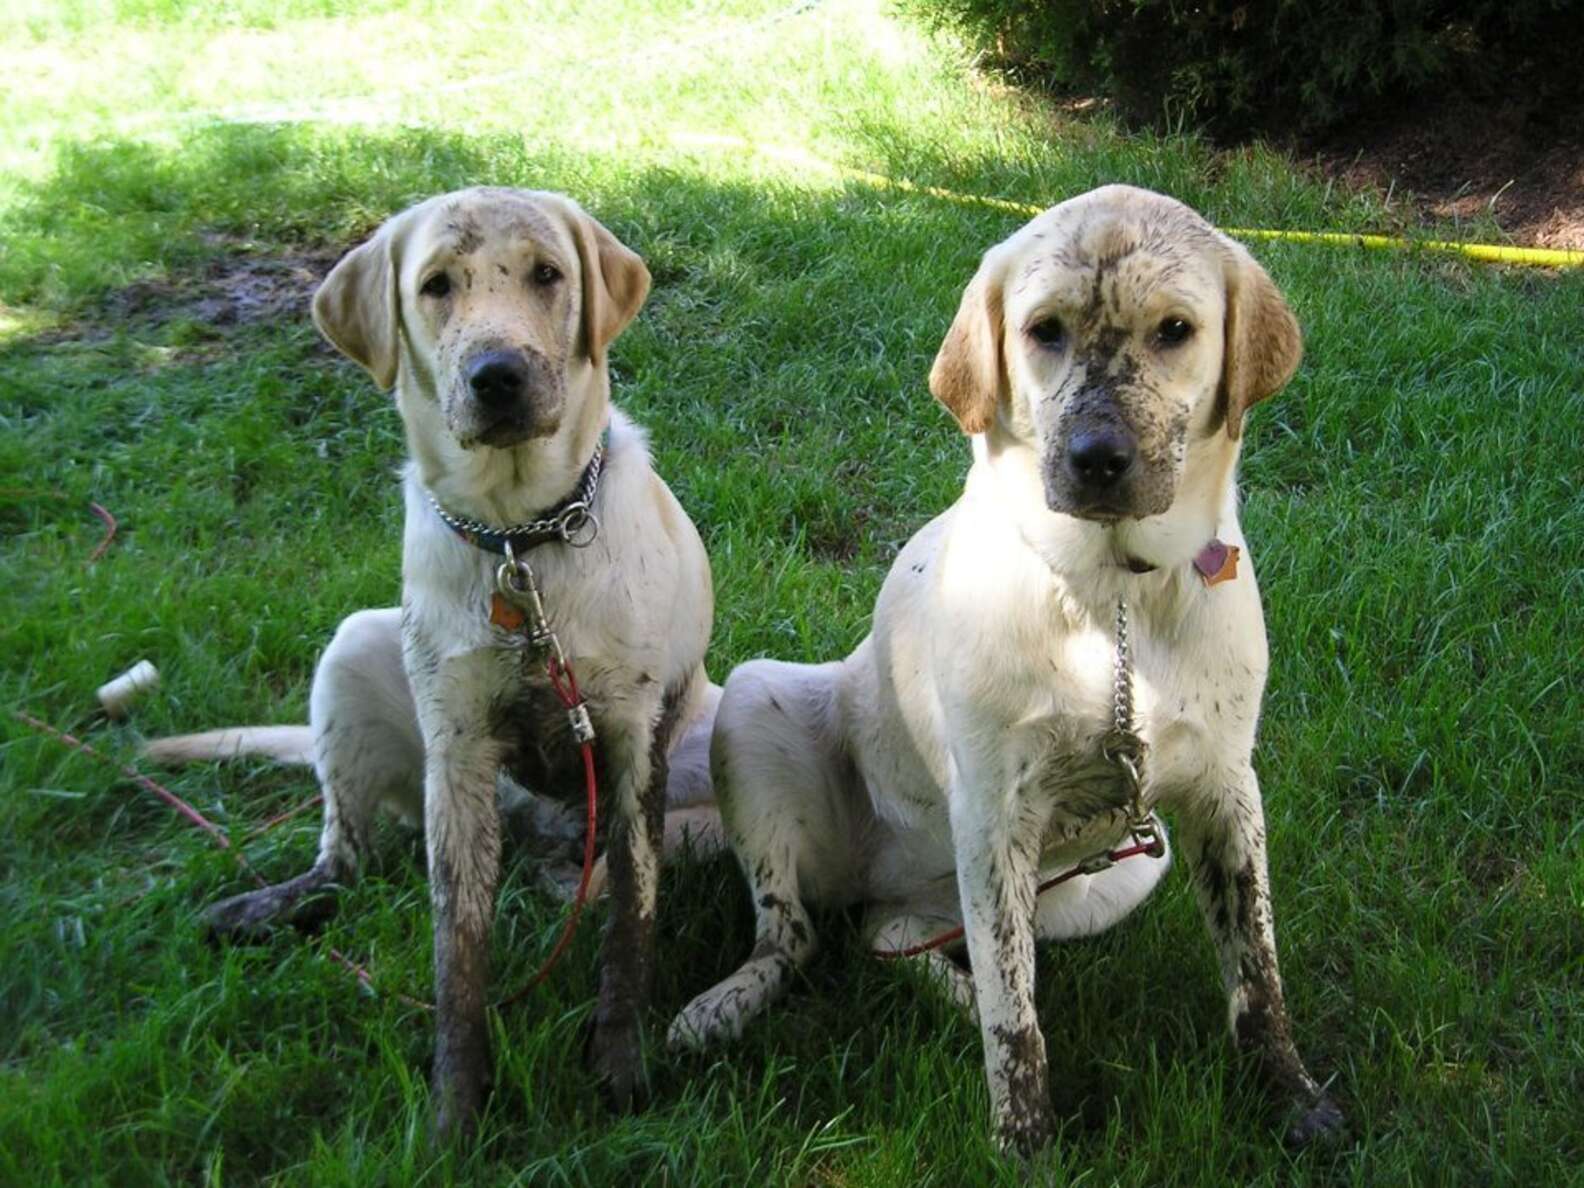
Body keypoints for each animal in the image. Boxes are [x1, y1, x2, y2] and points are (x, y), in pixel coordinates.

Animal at [668, 186, 1336, 1153]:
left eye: (1175, 330)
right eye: (1043, 330)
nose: (1097, 458)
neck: (1111, 601)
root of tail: (883, 880)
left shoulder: (1224, 793)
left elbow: (1256, 970)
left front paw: (1290, 1092)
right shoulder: (995, 815)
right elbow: (1014, 1017)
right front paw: (1026, 1143)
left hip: (1118, 872)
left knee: (893, 938)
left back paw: (939, 983)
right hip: (759, 707)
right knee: (793, 938)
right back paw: (719, 1008)